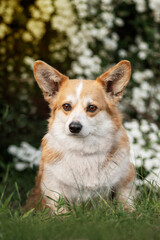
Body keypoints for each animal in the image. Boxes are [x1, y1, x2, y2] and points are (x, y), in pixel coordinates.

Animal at [26, 59, 136, 212]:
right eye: (66, 106)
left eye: (92, 108)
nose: (74, 127)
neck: (83, 151)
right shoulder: (53, 189)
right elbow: (61, 211)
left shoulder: (126, 180)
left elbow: (125, 205)